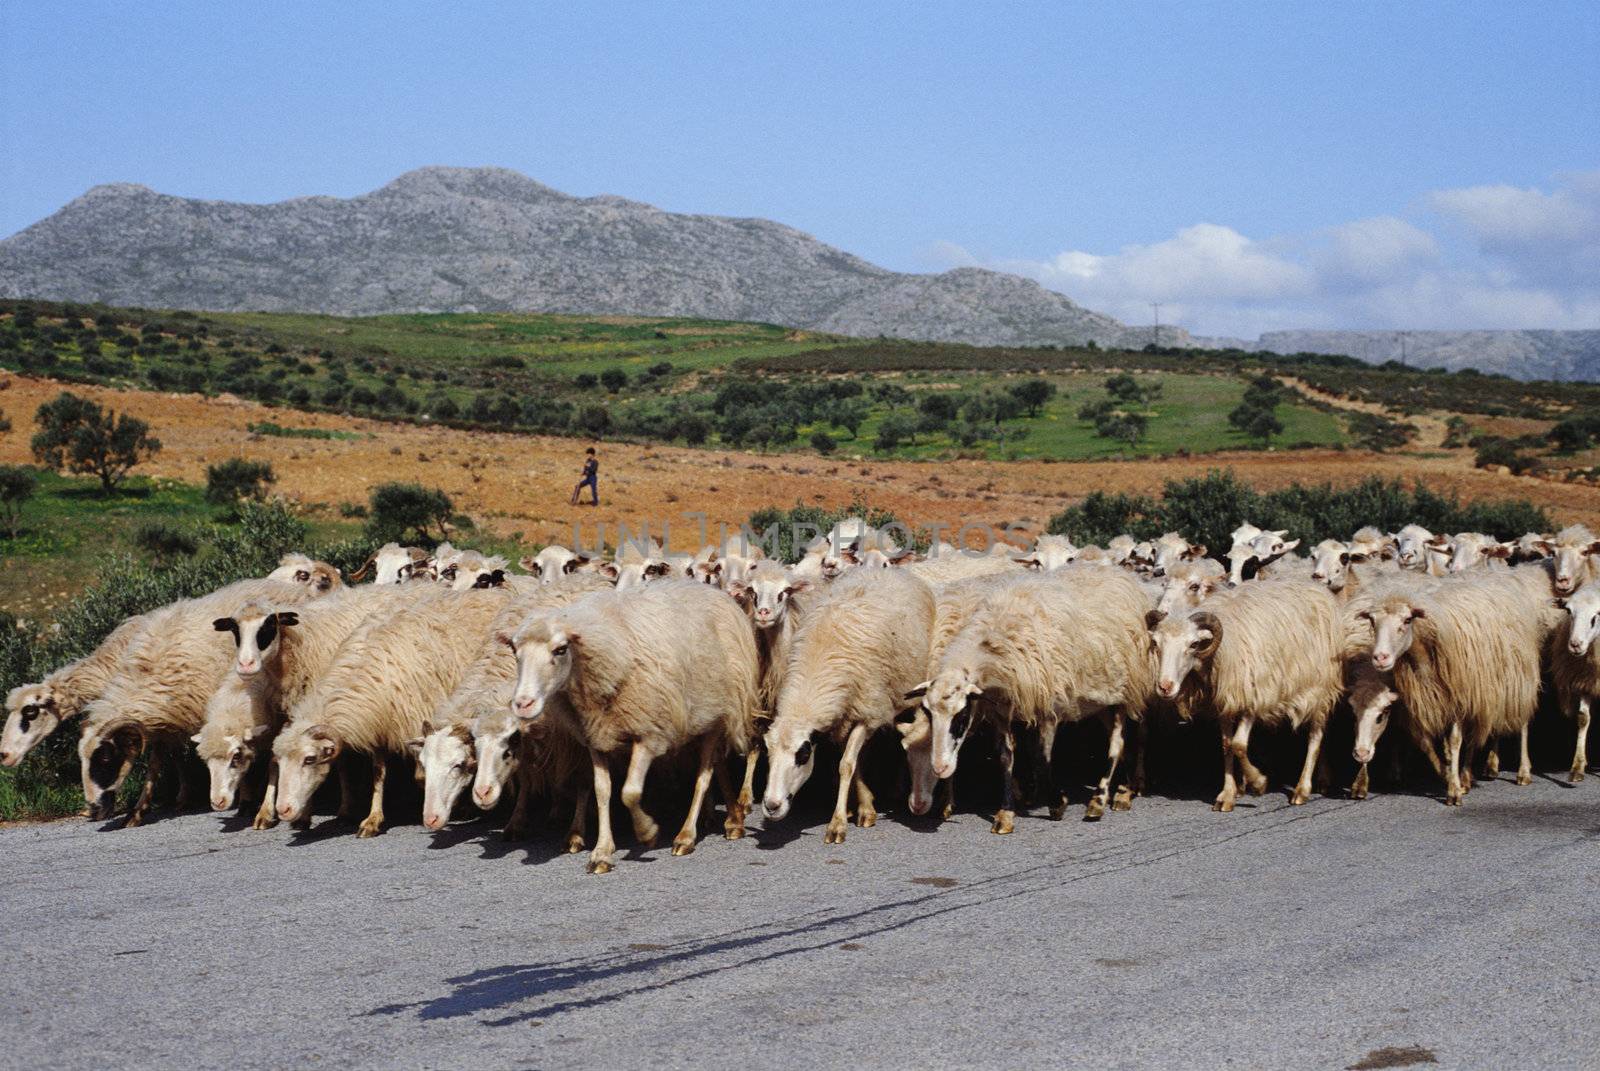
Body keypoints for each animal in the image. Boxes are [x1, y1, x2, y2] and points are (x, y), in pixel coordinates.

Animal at [77, 579, 328, 826]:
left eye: (106, 758)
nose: (93, 810)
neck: (149, 674)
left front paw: (246, 801)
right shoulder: (171, 717)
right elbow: (164, 760)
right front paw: (147, 808)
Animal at [272, 585, 515, 832]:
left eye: (309, 759)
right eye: (278, 761)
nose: (283, 810)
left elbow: (422, 775)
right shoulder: (379, 725)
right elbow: (378, 772)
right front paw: (372, 819)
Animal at [508, 576, 764, 870]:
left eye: (561, 650)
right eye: (515, 652)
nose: (523, 703)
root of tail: (714, 592)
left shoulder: (649, 734)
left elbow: (629, 792)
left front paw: (647, 833)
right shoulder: (596, 737)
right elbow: (603, 791)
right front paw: (602, 852)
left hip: (719, 712)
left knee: (703, 775)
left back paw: (686, 836)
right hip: (705, 720)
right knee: (717, 765)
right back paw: (734, 819)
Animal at [1152, 579, 1363, 806]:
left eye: (1193, 644)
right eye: (1156, 643)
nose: (1165, 686)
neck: (1224, 649)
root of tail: (1316, 586)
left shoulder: (1253, 699)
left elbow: (1238, 745)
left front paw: (1258, 783)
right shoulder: (1225, 703)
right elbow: (1227, 745)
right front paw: (1228, 794)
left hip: (1319, 687)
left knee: (1316, 735)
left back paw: (1302, 789)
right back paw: (1323, 779)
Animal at [1356, 573, 1555, 797]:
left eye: (1407, 620)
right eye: (1372, 621)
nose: (1380, 658)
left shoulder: (1459, 698)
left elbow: (1455, 741)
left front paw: (1453, 789)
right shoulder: (1429, 702)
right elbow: (1426, 743)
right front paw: (1447, 774)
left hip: (1519, 682)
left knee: (1522, 724)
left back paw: (1522, 772)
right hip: (1490, 691)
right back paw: (1474, 773)